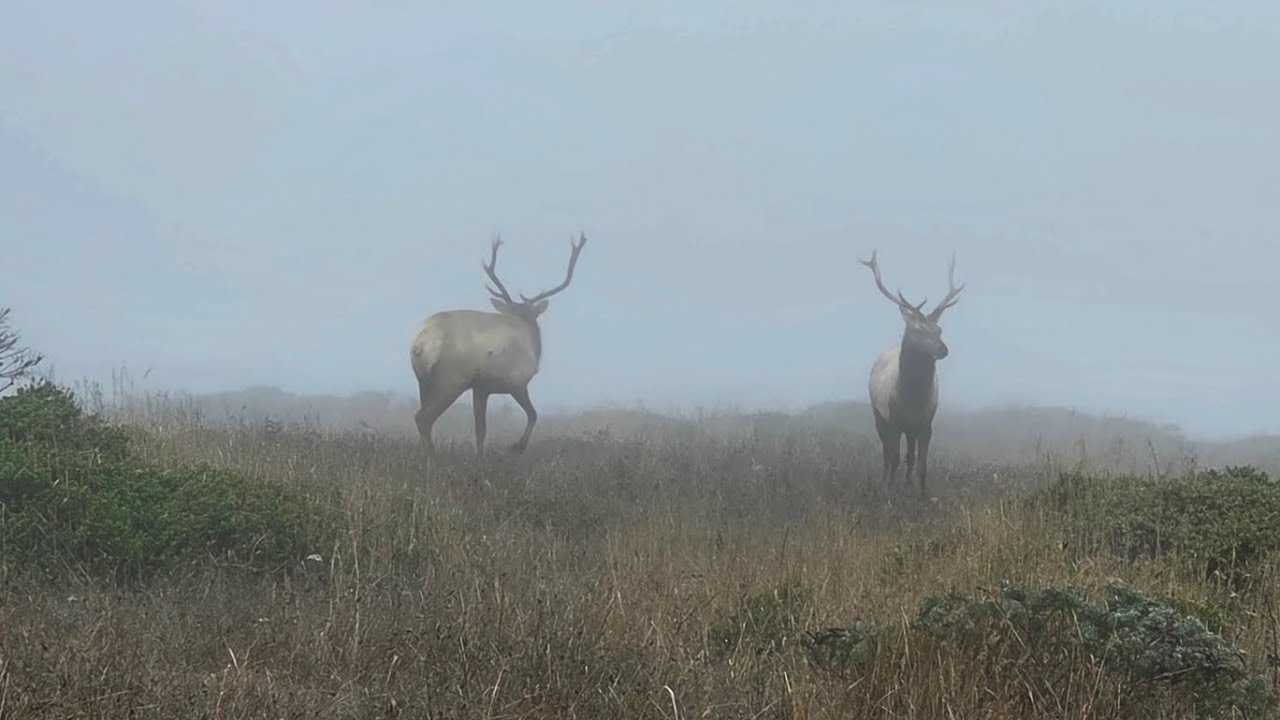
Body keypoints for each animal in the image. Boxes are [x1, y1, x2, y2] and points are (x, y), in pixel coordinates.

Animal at [409, 233, 587, 456]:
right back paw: (432, 455)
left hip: (423, 381)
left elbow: (480, 429)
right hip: (451, 379)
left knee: (423, 415)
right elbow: (533, 414)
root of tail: (421, 342)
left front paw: (480, 455)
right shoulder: (516, 382)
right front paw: (517, 446)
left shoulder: (480, 388)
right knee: (423, 417)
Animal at [859, 249, 965, 498]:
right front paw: (890, 490)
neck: (912, 398)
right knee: (886, 453)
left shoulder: (926, 423)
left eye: (939, 329)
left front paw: (922, 494)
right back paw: (884, 481)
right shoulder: (894, 421)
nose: (943, 349)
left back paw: (907, 484)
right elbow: (894, 457)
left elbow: (921, 462)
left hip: (911, 429)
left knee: (910, 455)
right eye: (917, 330)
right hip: (878, 416)